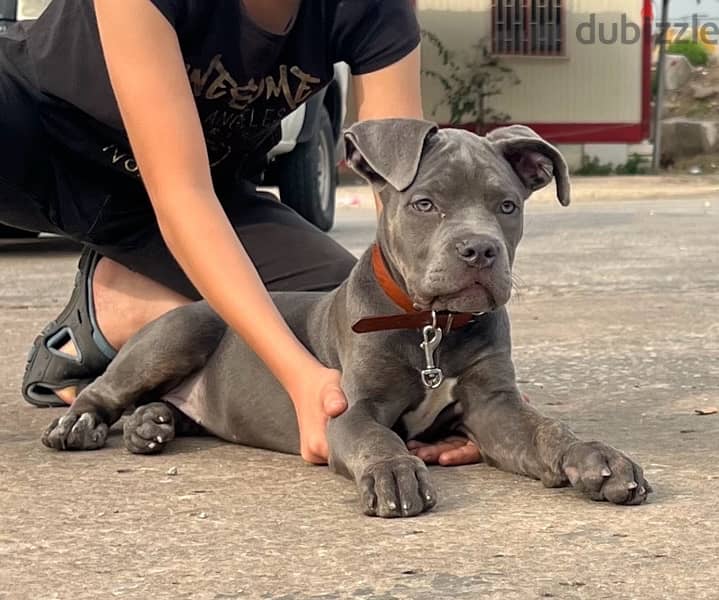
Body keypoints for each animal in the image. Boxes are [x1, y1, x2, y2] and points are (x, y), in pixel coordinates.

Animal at [43, 119, 652, 516]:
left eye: (509, 206)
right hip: (180, 332)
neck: (431, 326)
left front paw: (597, 457)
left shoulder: (494, 405)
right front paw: (395, 472)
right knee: (104, 389)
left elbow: (546, 428)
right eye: (424, 204)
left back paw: (152, 424)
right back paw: (81, 425)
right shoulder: (351, 410)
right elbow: (376, 438)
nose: (480, 250)